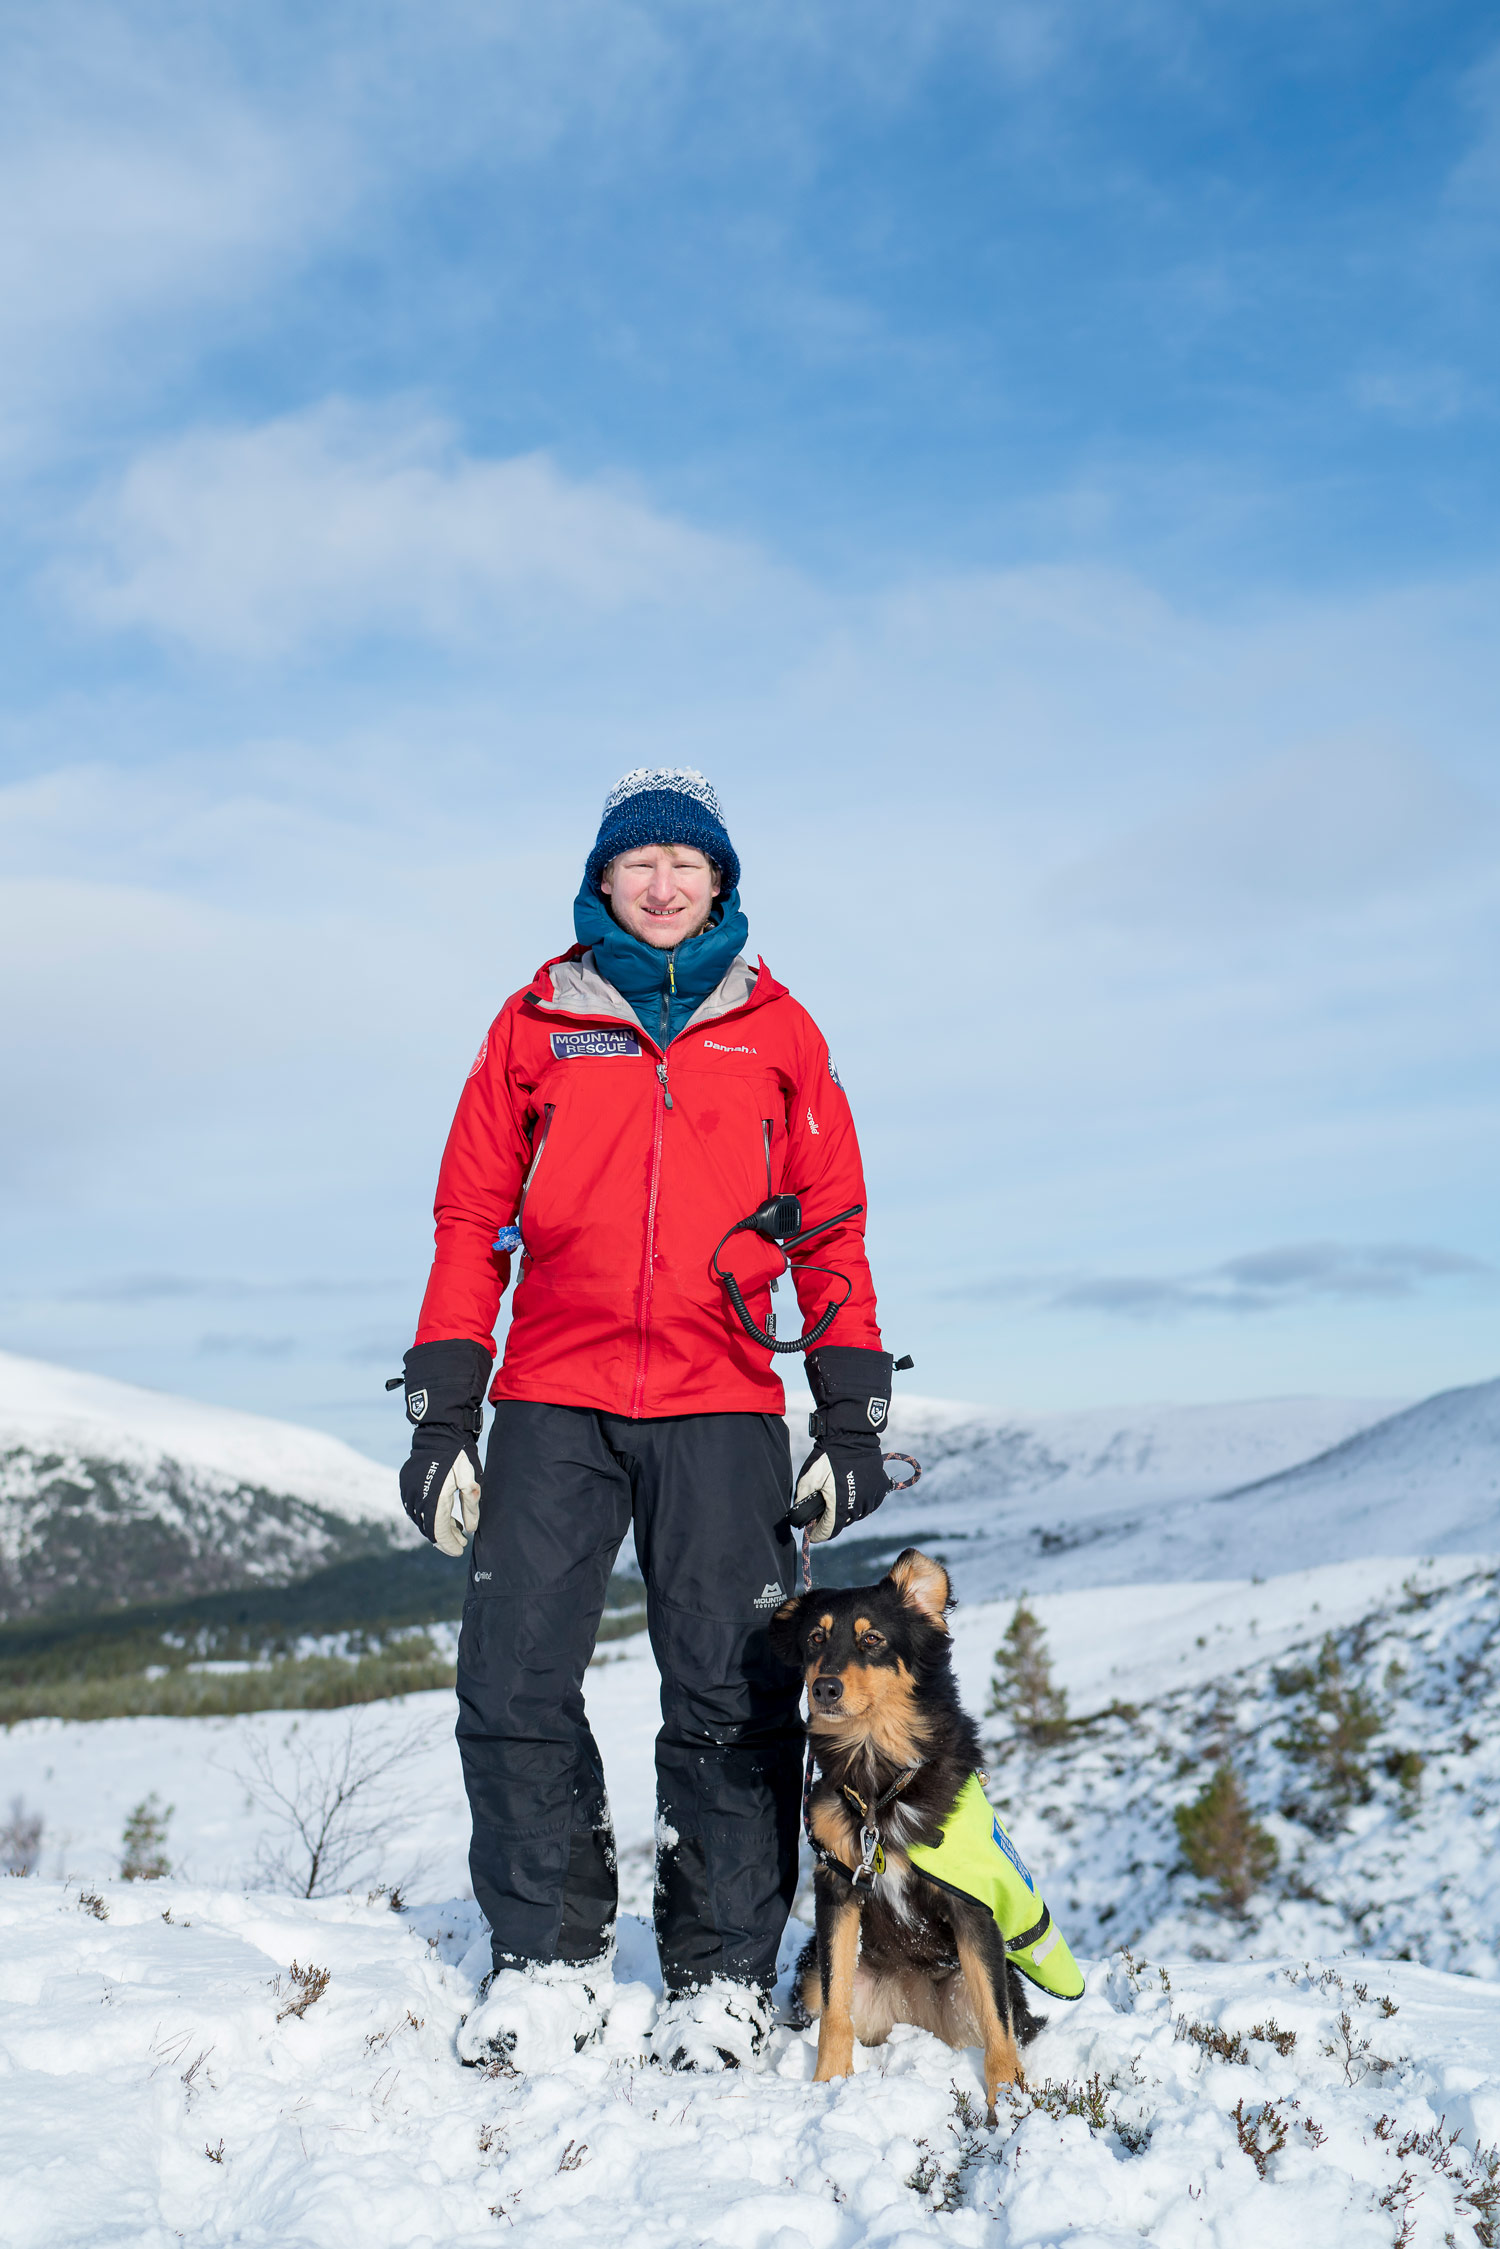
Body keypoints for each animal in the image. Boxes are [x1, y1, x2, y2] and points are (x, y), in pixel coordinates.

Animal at [773, 1556, 1043, 2114]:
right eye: (814, 1639)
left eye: (872, 1638)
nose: (824, 1689)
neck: (881, 1781)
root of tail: (912, 2013)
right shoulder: (838, 1888)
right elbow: (835, 2009)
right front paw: (828, 2082)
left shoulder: (973, 1906)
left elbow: (998, 2023)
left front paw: (1008, 2103)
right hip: (813, 1974)